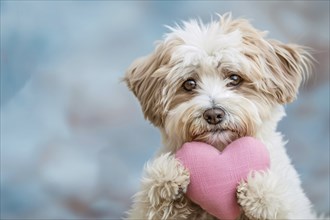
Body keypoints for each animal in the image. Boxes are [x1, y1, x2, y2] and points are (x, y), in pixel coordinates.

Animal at [123, 12, 314, 219]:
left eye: (234, 78)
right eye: (189, 84)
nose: (213, 114)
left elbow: (280, 205)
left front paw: (259, 189)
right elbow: (152, 204)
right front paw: (167, 175)